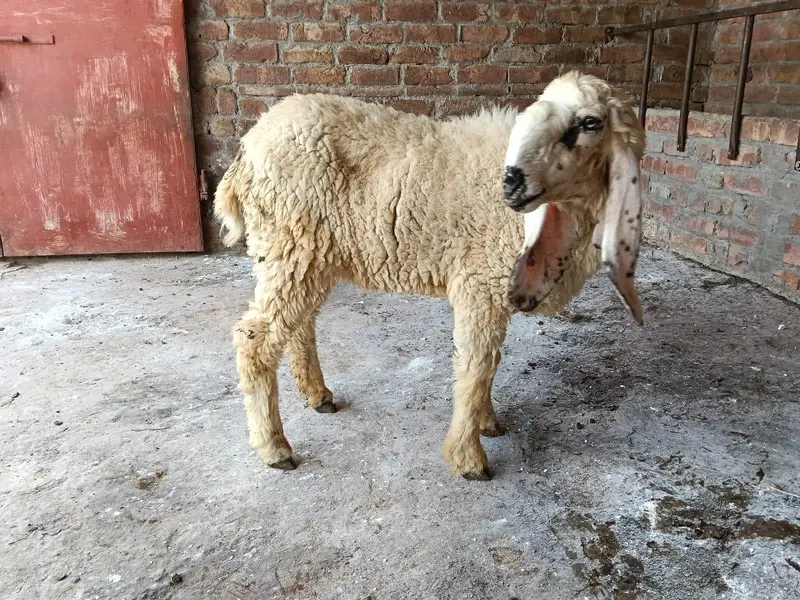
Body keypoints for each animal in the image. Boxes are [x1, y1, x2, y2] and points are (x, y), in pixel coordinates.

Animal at [214, 70, 646, 481]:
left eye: (590, 122)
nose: (511, 183)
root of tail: (248, 147)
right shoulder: (478, 282)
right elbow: (477, 366)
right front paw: (469, 457)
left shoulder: (491, 288)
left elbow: (489, 362)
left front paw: (487, 422)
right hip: (290, 245)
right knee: (256, 339)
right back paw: (274, 448)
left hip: (303, 256)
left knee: (298, 326)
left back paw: (317, 395)